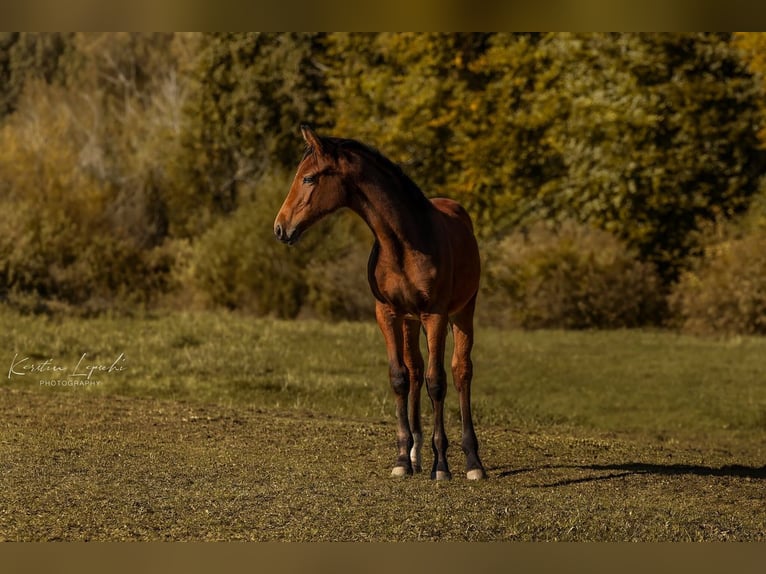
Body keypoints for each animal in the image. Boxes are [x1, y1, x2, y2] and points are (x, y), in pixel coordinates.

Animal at [274, 125, 486, 480]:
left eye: (309, 178)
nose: (280, 227)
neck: (403, 242)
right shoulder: (387, 313)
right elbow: (399, 377)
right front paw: (402, 459)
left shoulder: (435, 315)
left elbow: (437, 382)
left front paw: (441, 466)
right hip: (410, 320)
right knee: (415, 370)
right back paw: (416, 454)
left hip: (462, 311)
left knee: (460, 372)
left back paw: (473, 462)